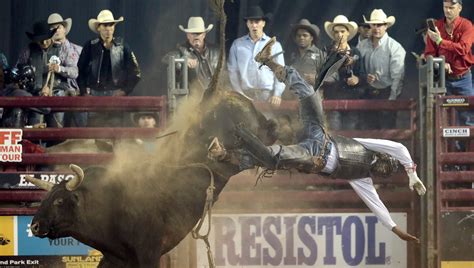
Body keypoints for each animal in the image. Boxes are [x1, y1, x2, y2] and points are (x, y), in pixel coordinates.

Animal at [26, 91, 278, 266]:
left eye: (59, 201)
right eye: (44, 199)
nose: (34, 226)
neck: (106, 205)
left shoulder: (148, 253)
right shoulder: (116, 258)